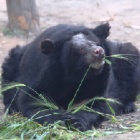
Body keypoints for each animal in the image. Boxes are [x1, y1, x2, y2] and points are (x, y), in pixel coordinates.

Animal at [1, 23, 140, 131]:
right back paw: (11, 108)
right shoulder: (39, 76)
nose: (99, 51)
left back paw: (127, 106)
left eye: (97, 43)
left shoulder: (102, 80)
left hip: (126, 55)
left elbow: (97, 104)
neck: (75, 75)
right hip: (14, 60)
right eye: (79, 49)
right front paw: (61, 119)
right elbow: (33, 103)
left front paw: (76, 121)